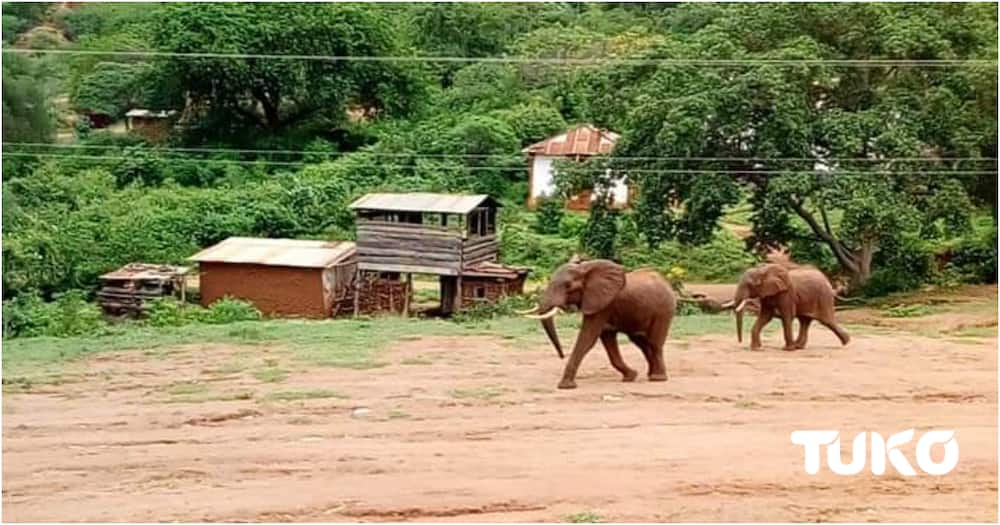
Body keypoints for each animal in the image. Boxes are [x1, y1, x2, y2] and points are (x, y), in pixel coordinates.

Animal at [520, 258, 676, 388]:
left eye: (568, 285)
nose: (562, 356)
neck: (584, 269)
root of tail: (666, 281)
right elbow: (607, 339)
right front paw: (630, 376)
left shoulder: (603, 304)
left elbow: (588, 337)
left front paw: (565, 386)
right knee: (641, 341)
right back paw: (650, 375)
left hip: (664, 309)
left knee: (654, 342)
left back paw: (657, 378)